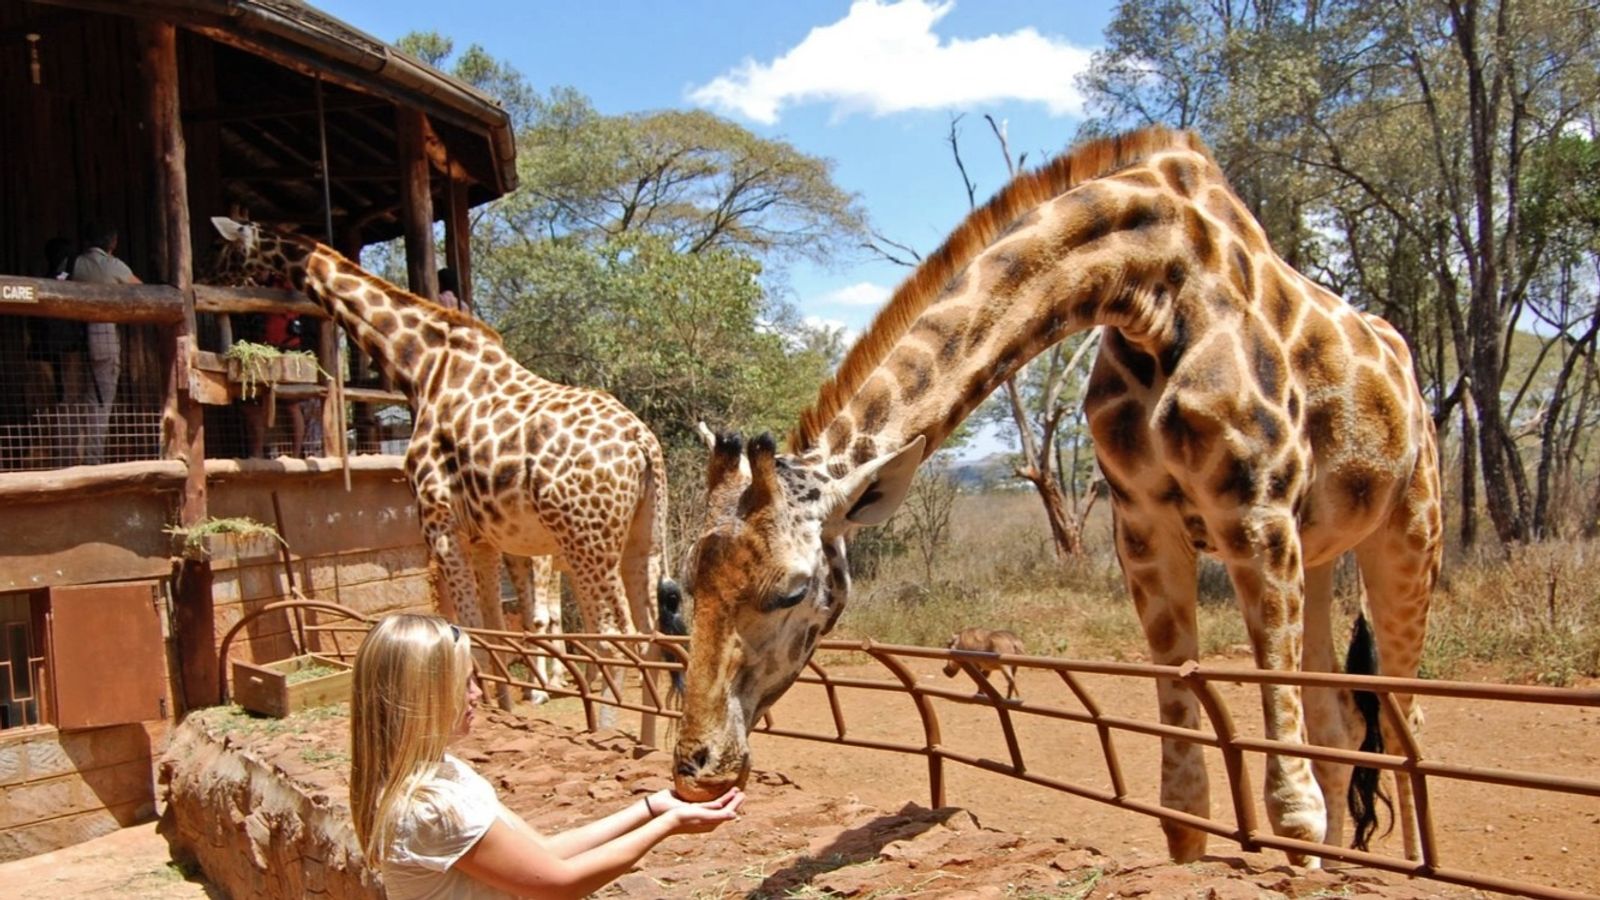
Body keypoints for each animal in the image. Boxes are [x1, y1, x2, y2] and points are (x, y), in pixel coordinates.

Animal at [206, 218, 668, 733]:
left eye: (225, 250)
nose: (212, 281)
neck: (420, 366)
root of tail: (642, 445)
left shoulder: (437, 520)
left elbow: (465, 627)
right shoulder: (483, 536)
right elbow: (489, 627)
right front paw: (503, 705)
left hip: (584, 538)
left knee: (613, 633)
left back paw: (604, 730)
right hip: (642, 535)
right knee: (650, 632)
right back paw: (644, 737)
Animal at [667, 129, 1442, 866]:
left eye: (794, 590)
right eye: (685, 585)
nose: (697, 769)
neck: (1153, 287)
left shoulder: (1256, 514)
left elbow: (1292, 801)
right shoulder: (1145, 530)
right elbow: (1183, 797)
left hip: (1407, 535)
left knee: (1408, 723)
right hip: (1320, 551)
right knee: (1339, 716)